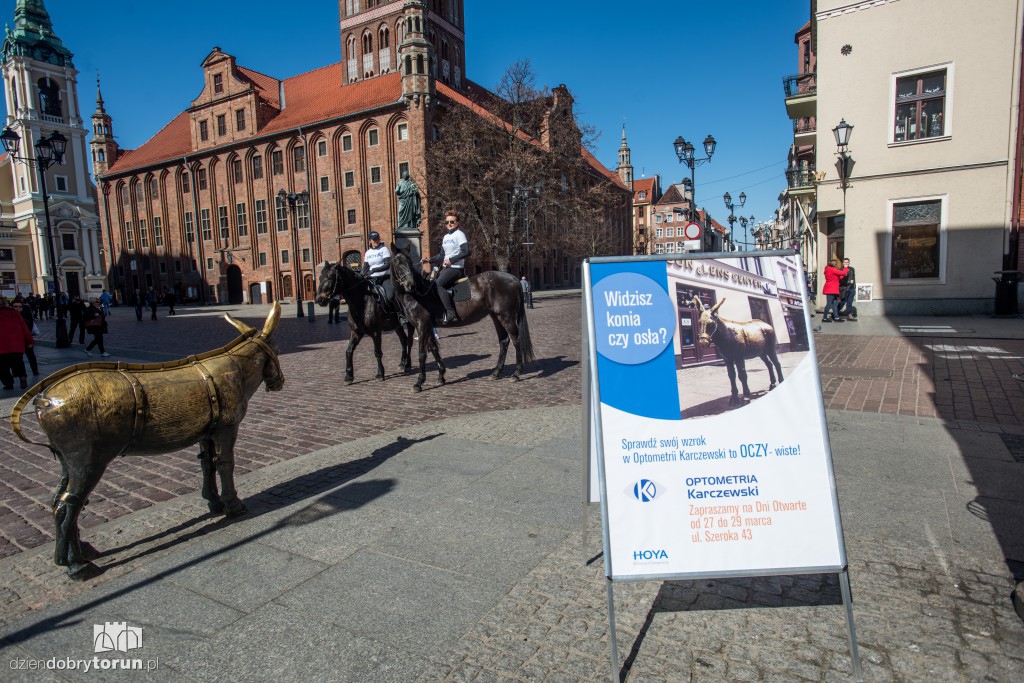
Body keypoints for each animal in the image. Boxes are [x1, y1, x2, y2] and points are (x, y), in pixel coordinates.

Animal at [389, 244, 536, 389]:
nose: (410, 284)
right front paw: (440, 377)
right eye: (397, 262)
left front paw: (419, 382)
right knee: (504, 341)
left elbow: (422, 354)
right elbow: (434, 350)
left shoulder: (422, 325)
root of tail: (514, 278)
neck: (418, 295)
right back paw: (496, 372)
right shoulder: (428, 327)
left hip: (506, 317)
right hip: (496, 317)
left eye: (408, 262)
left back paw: (516, 373)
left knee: (516, 341)